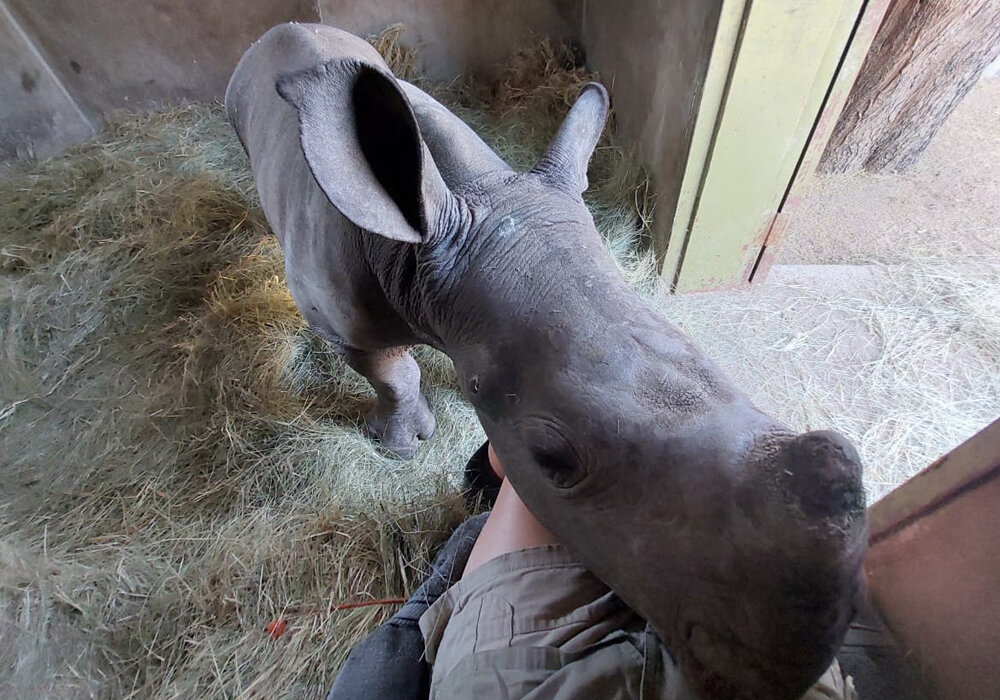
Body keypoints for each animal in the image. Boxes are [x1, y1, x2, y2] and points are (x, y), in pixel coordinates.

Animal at [226, 23, 867, 700]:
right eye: (550, 457)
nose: (780, 666)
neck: (423, 255)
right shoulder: (341, 320)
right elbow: (393, 371)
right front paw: (402, 446)